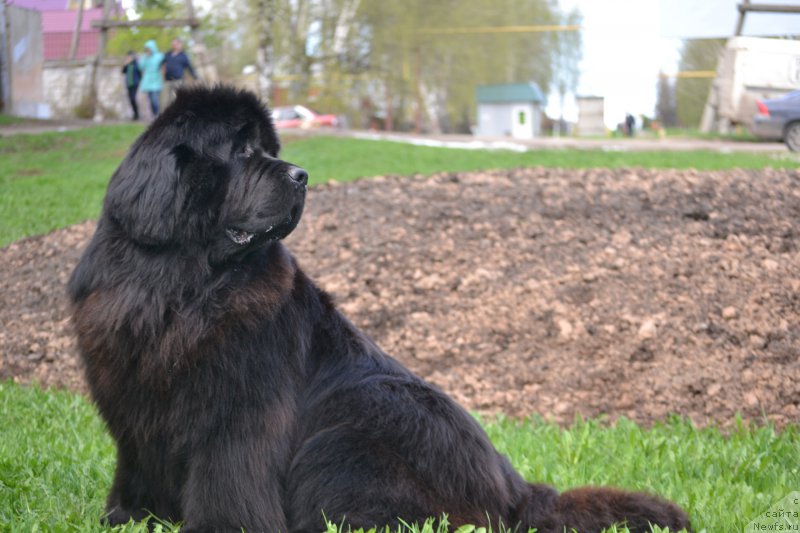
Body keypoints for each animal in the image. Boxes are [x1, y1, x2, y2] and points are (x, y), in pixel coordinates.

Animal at [69, 87, 692, 532]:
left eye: (269, 150)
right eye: (243, 152)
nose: (301, 175)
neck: (182, 286)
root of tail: (513, 493)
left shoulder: (240, 418)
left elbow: (230, 480)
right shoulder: (133, 407)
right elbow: (137, 465)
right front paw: (125, 518)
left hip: (354, 428)